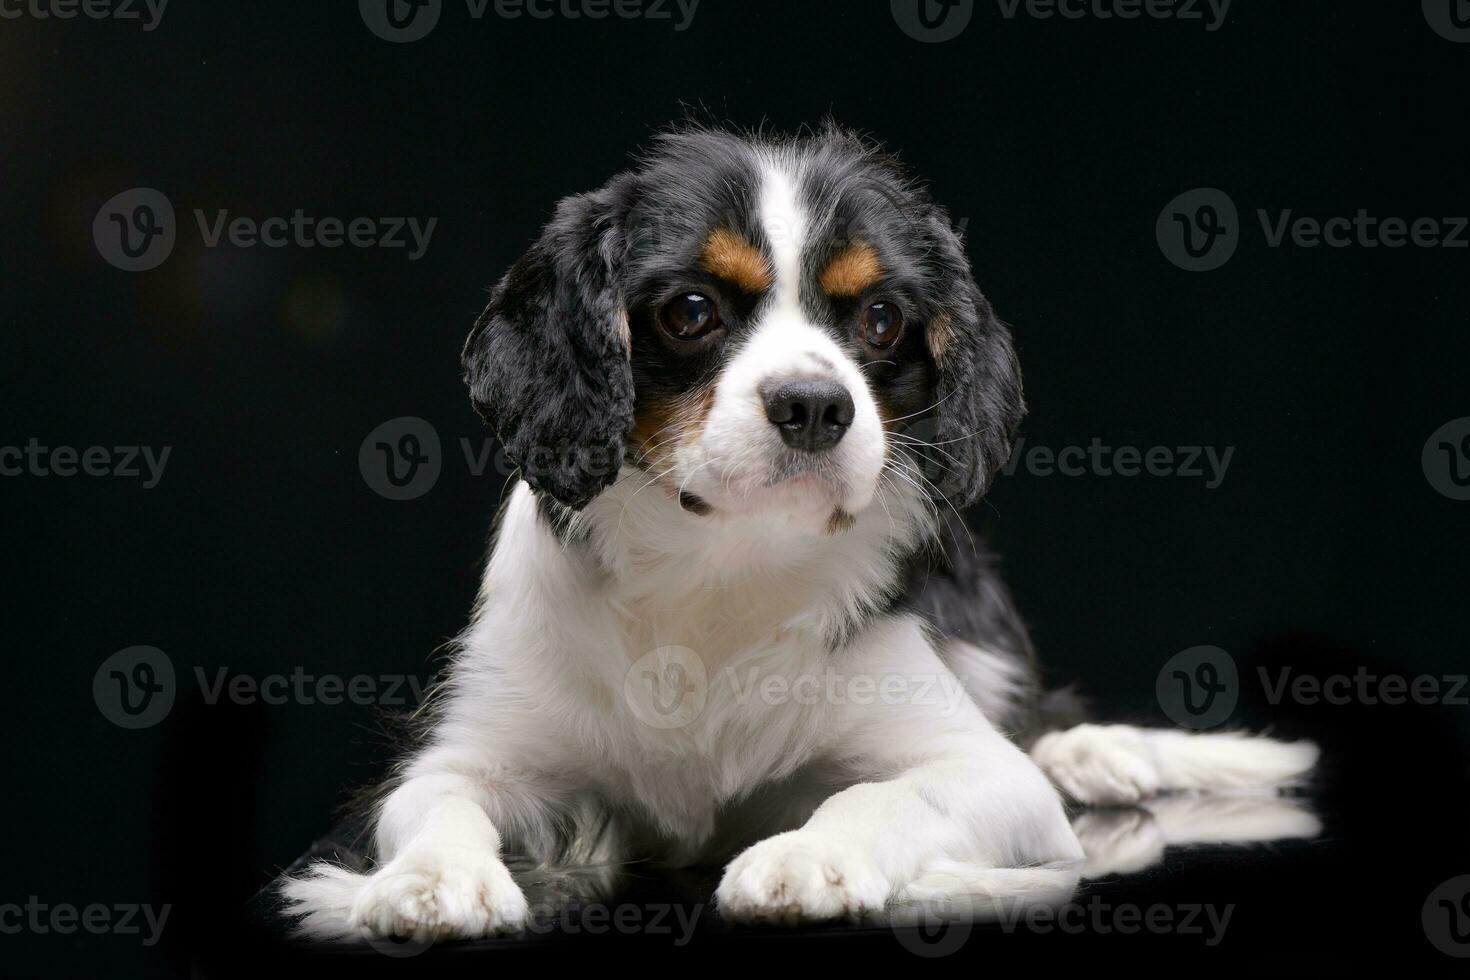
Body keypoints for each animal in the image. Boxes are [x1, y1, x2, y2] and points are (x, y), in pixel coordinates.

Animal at [280, 122, 1317, 940]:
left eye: (883, 317)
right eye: (691, 311)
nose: (816, 405)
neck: (720, 565)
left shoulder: (988, 778)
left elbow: (888, 789)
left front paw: (804, 859)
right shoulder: (458, 753)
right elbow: (435, 801)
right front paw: (432, 880)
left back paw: (1096, 751)